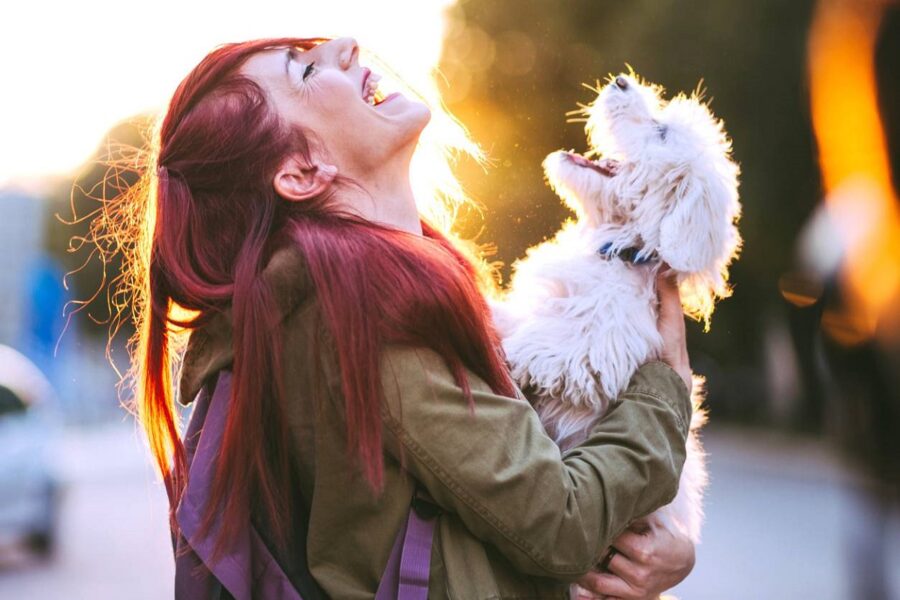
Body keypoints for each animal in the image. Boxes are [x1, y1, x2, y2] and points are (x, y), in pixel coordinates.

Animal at [496, 72, 740, 548]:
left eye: (661, 132)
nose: (622, 80)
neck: (620, 248)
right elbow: (518, 316)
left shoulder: (602, 349)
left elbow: (553, 347)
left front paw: (510, 351)